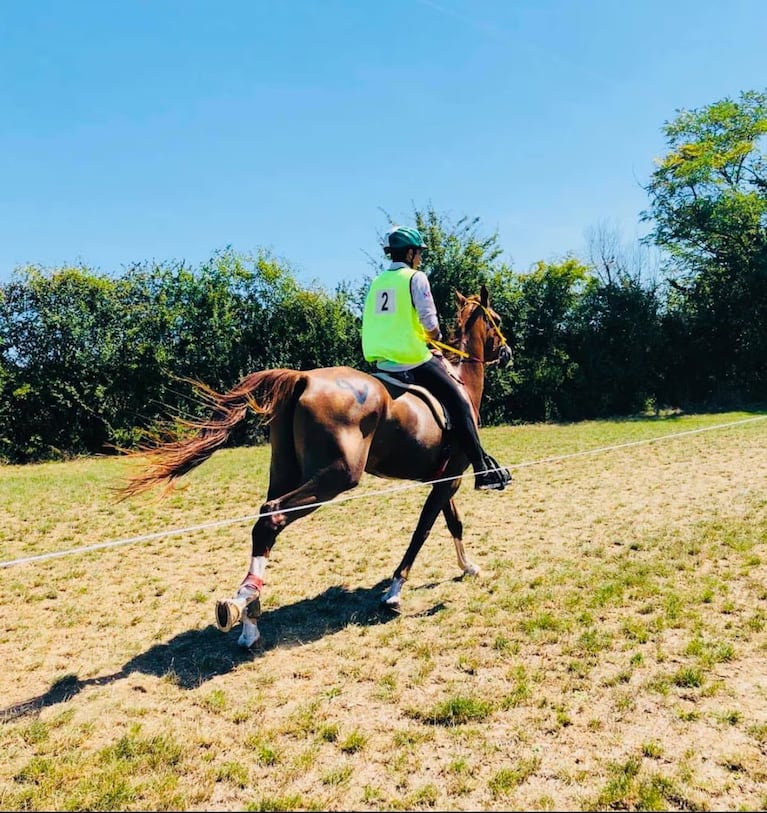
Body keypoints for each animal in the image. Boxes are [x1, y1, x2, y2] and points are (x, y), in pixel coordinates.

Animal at [119, 284, 512, 648]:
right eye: (497, 319)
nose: (506, 352)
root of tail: (304, 378)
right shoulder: (450, 478)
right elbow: (424, 530)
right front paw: (395, 592)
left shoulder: (443, 479)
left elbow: (452, 522)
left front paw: (468, 567)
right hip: (336, 478)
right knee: (272, 515)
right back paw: (246, 606)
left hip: (285, 472)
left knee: (263, 522)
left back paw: (248, 618)